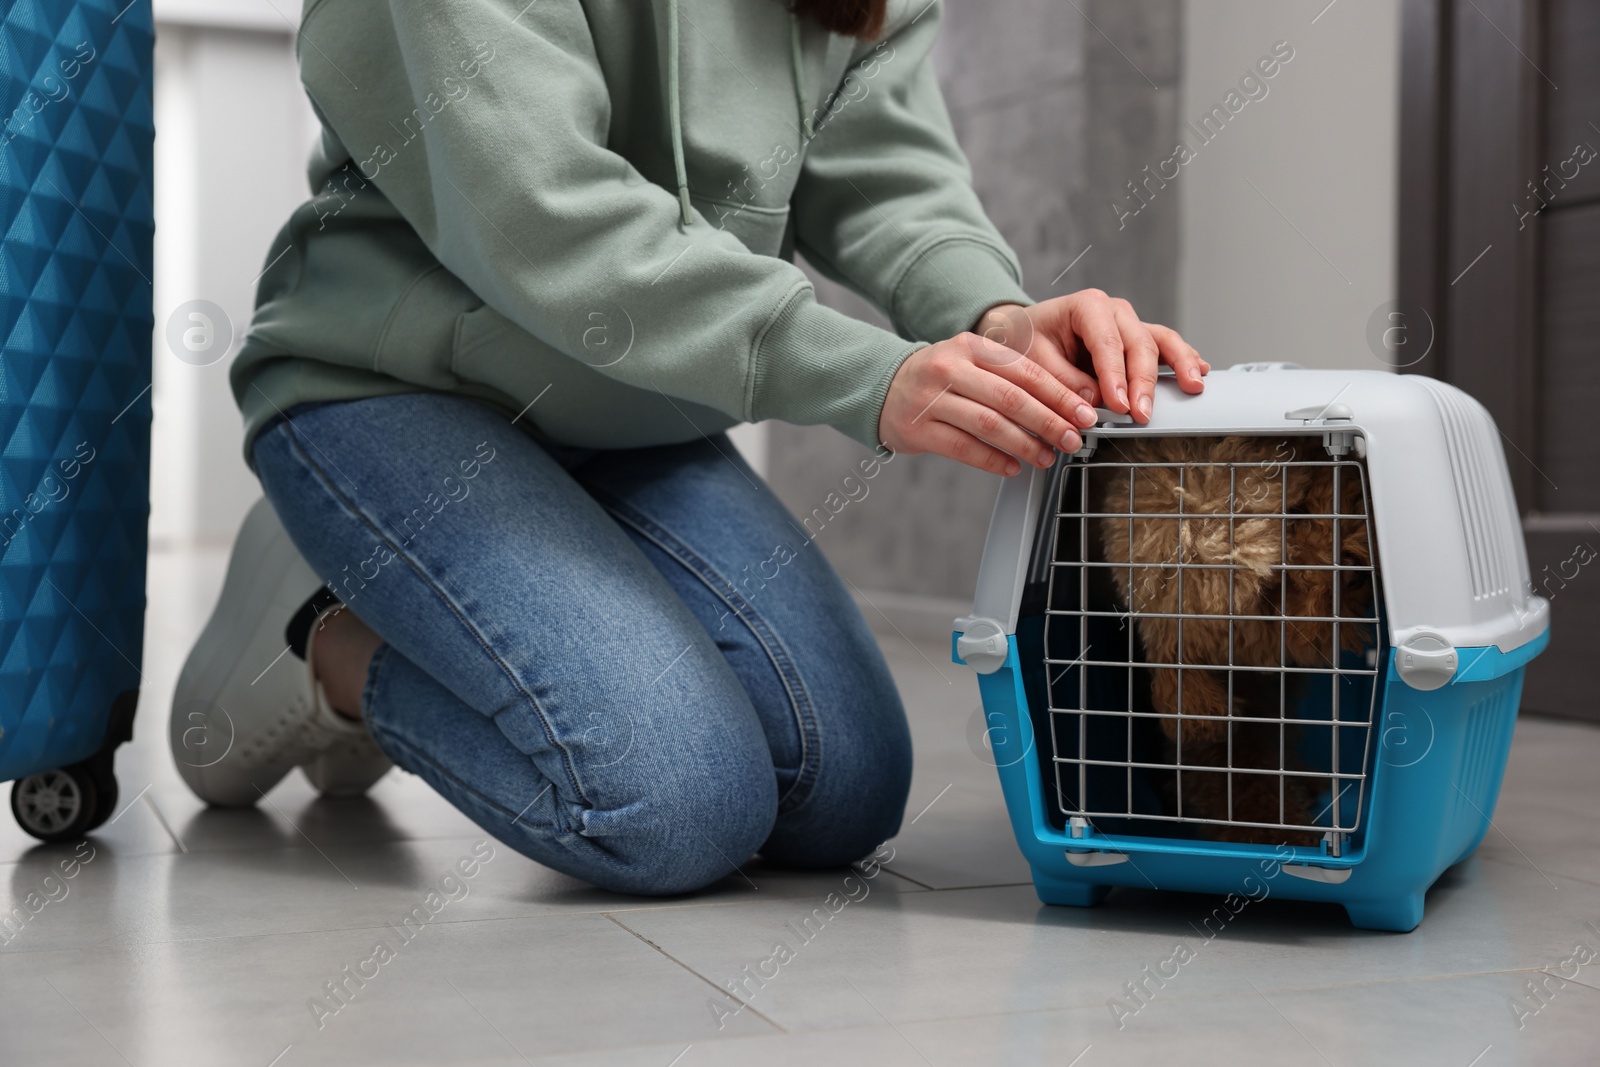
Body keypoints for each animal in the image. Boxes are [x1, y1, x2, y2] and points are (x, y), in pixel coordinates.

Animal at [1100, 438, 1376, 844]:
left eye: (1294, 510)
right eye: (1270, 594)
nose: (1353, 571)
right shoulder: (1222, 743)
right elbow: (1245, 791)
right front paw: (1287, 834)